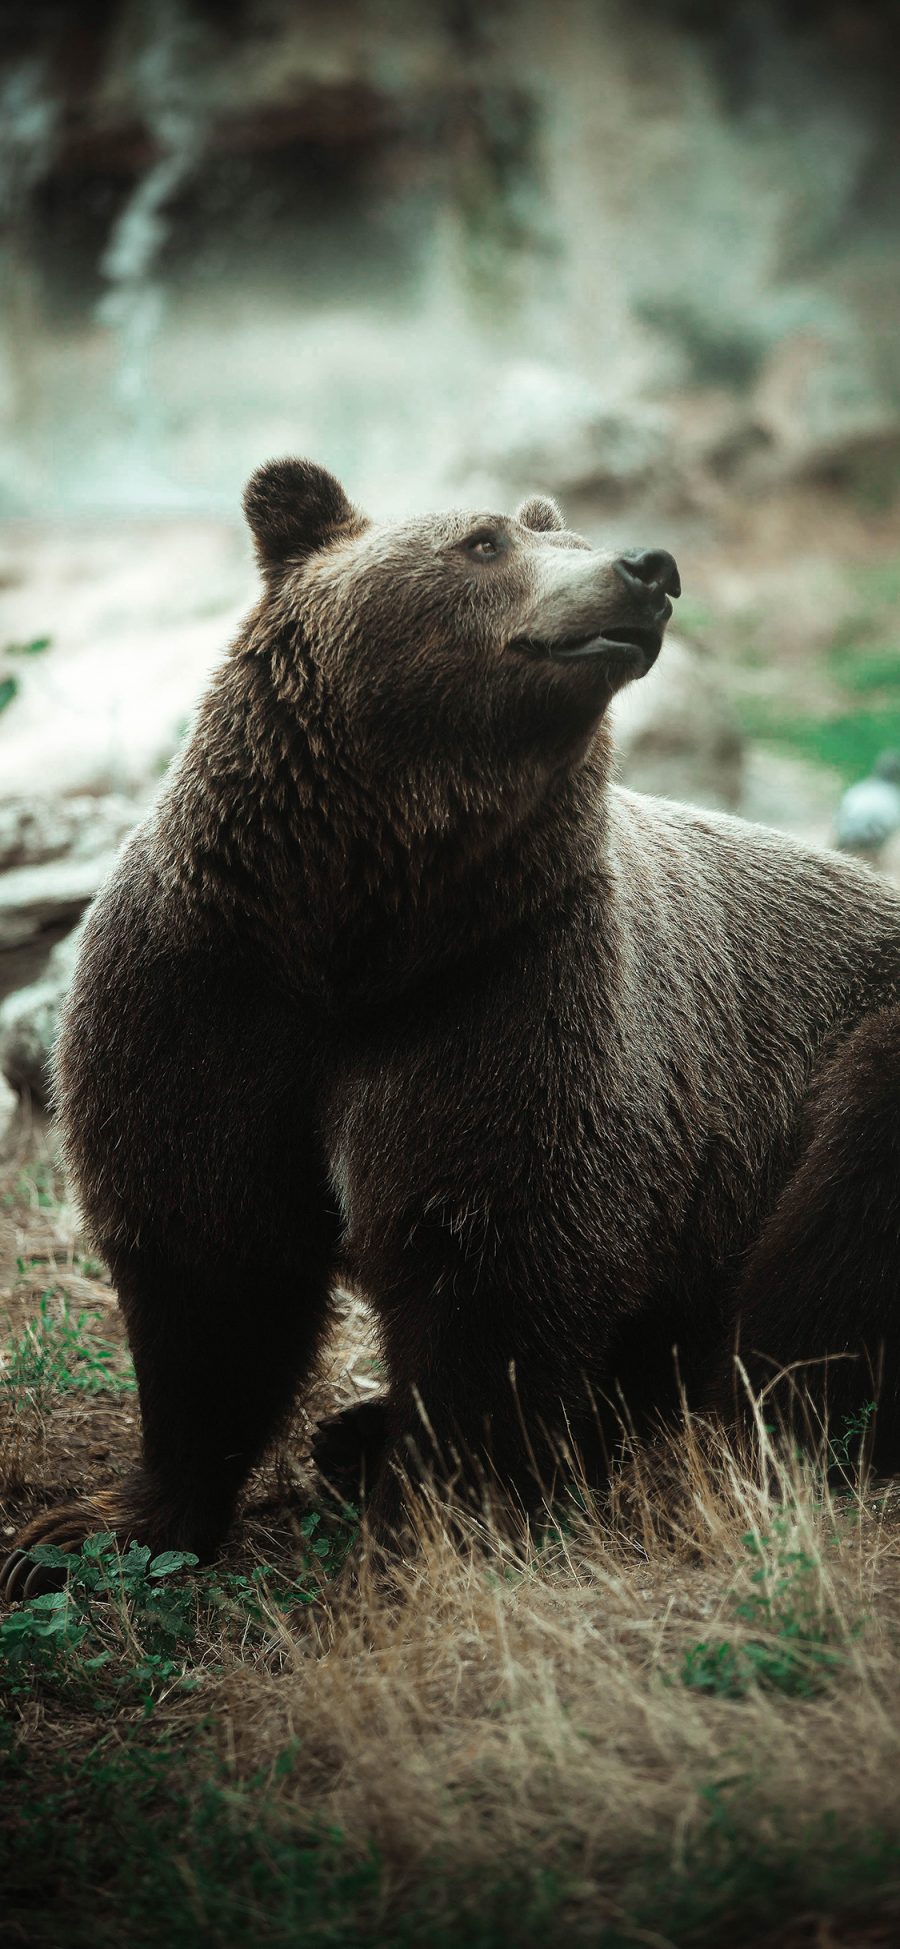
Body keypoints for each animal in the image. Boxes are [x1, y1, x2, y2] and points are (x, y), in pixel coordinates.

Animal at [1, 459, 900, 1598]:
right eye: (482, 541)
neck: (361, 929)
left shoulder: (508, 998)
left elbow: (491, 1264)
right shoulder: (210, 993)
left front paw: (431, 1530)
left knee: (830, 1253)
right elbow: (209, 1268)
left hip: (852, 1059)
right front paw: (86, 1532)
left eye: (553, 532)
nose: (647, 568)